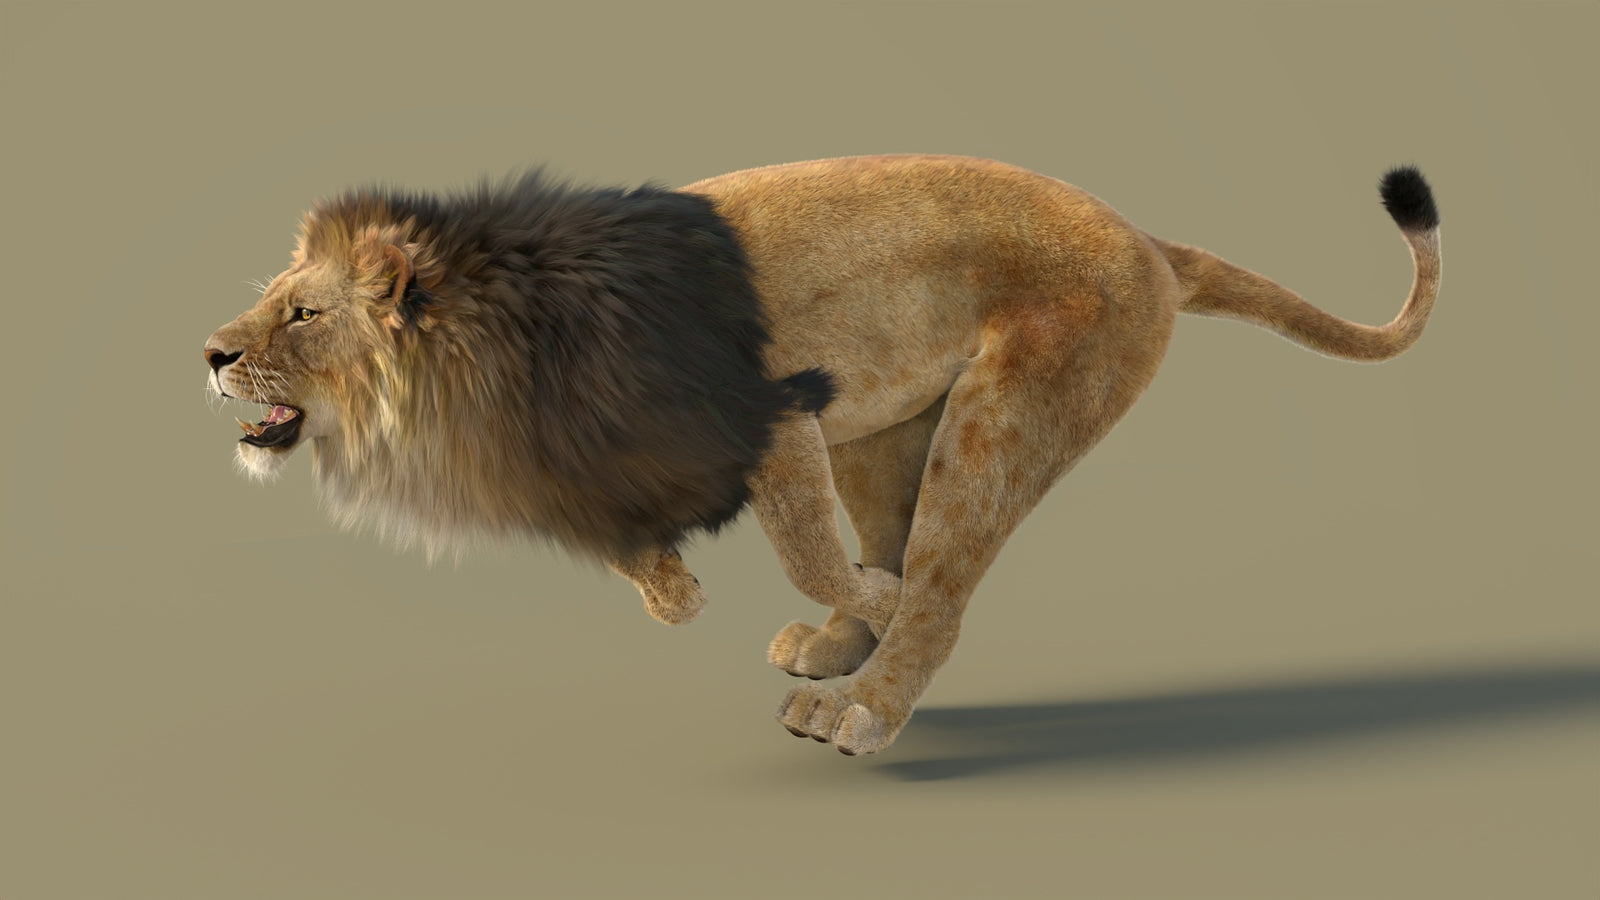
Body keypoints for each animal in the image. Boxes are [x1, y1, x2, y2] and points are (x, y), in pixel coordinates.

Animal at [203, 154, 1441, 755]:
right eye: (273, 298)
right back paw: (838, 649)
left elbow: (810, 549)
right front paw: (675, 592)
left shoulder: (775, 415)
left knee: (940, 580)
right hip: (885, 430)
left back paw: (869, 693)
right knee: (891, 533)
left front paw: (869, 603)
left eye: (302, 314)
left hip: (998, 413)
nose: (209, 354)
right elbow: (655, 550)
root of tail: (1147, 237)